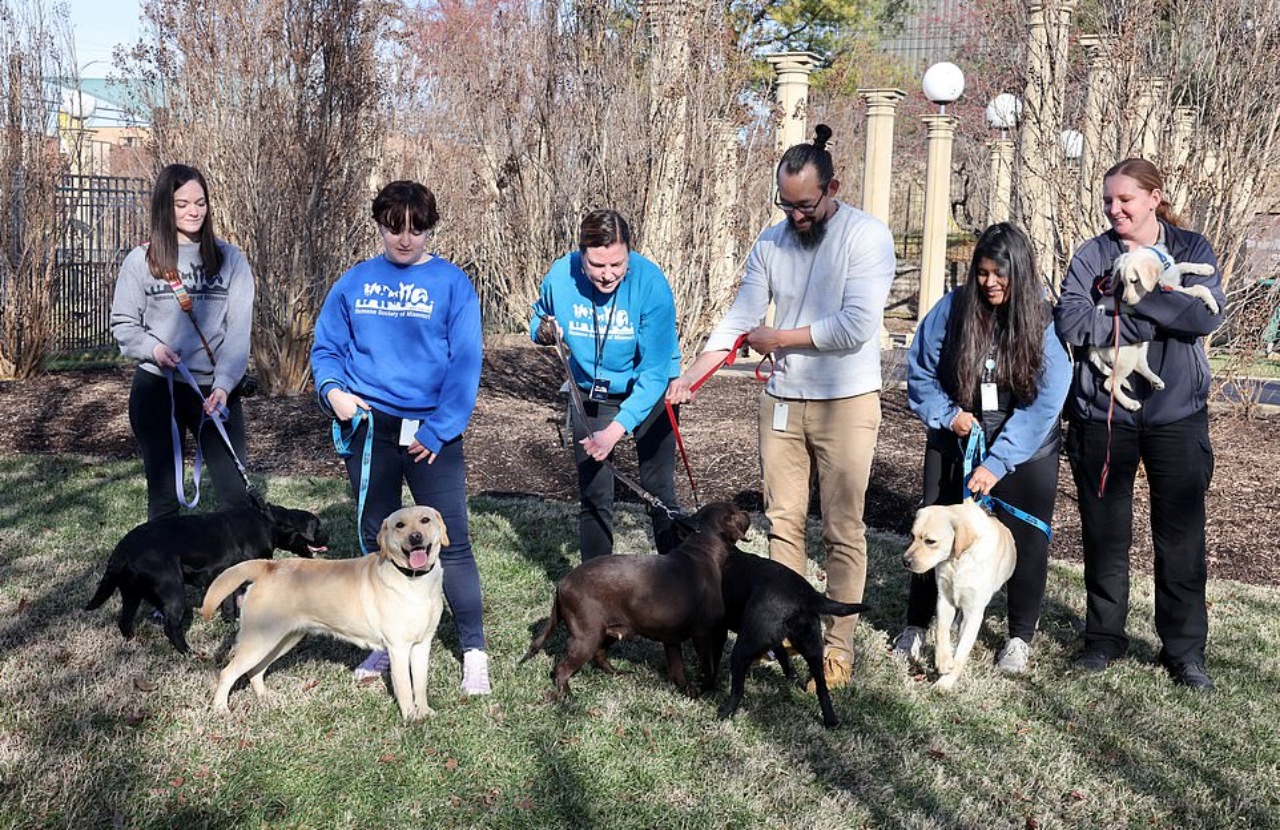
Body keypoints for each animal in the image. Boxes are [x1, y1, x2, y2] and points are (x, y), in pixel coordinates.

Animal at [84, 491, 325, 655]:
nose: (328, 538)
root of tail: (123, 547)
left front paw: (230, 622)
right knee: (171, 626)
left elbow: (228, 605)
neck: (268, 520)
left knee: (124, 620)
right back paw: (188, 653)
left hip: (131, 593)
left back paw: (132, 642)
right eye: (319, 528)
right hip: (172, 591)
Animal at [194, 504, 445, 717]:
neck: (413, 582)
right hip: (259, 640)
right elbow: (405, 688)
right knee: (228, 672)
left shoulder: (422, 645)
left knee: (255, 670)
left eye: (425, 520)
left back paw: (265, 698)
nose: (415, 537)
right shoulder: (398, 648)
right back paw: (220, 709)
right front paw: (411, 717)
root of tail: (268, 566)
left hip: (282, 640)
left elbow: (420, 683)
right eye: (399, 525)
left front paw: (424, 712)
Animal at [716, 550, 875, 727]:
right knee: (822, 689)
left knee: (738, 690)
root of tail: (807, 594)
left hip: (743, 649)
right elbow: (785, 659)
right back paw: (830, 721)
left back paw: (723, 715)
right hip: (812, 649)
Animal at [906, 502, 1013, 691]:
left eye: (930, 541)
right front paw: (943, 661)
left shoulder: (974, 613)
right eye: (912, 536)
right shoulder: (944, 599)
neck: (959, 560)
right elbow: (941, 631)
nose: (905, 561)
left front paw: (946, 681)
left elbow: (962, 652)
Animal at [1090, 248, 1218, 412]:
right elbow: (1198, 288)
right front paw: (1212, 303)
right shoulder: (1173, 290)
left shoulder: (1173, 272)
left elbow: (1183, 264)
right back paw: (1130, 403)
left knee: (1140, 365)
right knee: (1109, 383)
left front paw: (1206, 268)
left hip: (1140, 346)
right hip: (1126, 354)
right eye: (1122, 283)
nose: (1124, 301)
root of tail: (1091, 347)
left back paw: (1155, 380)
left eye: (1134, 281)